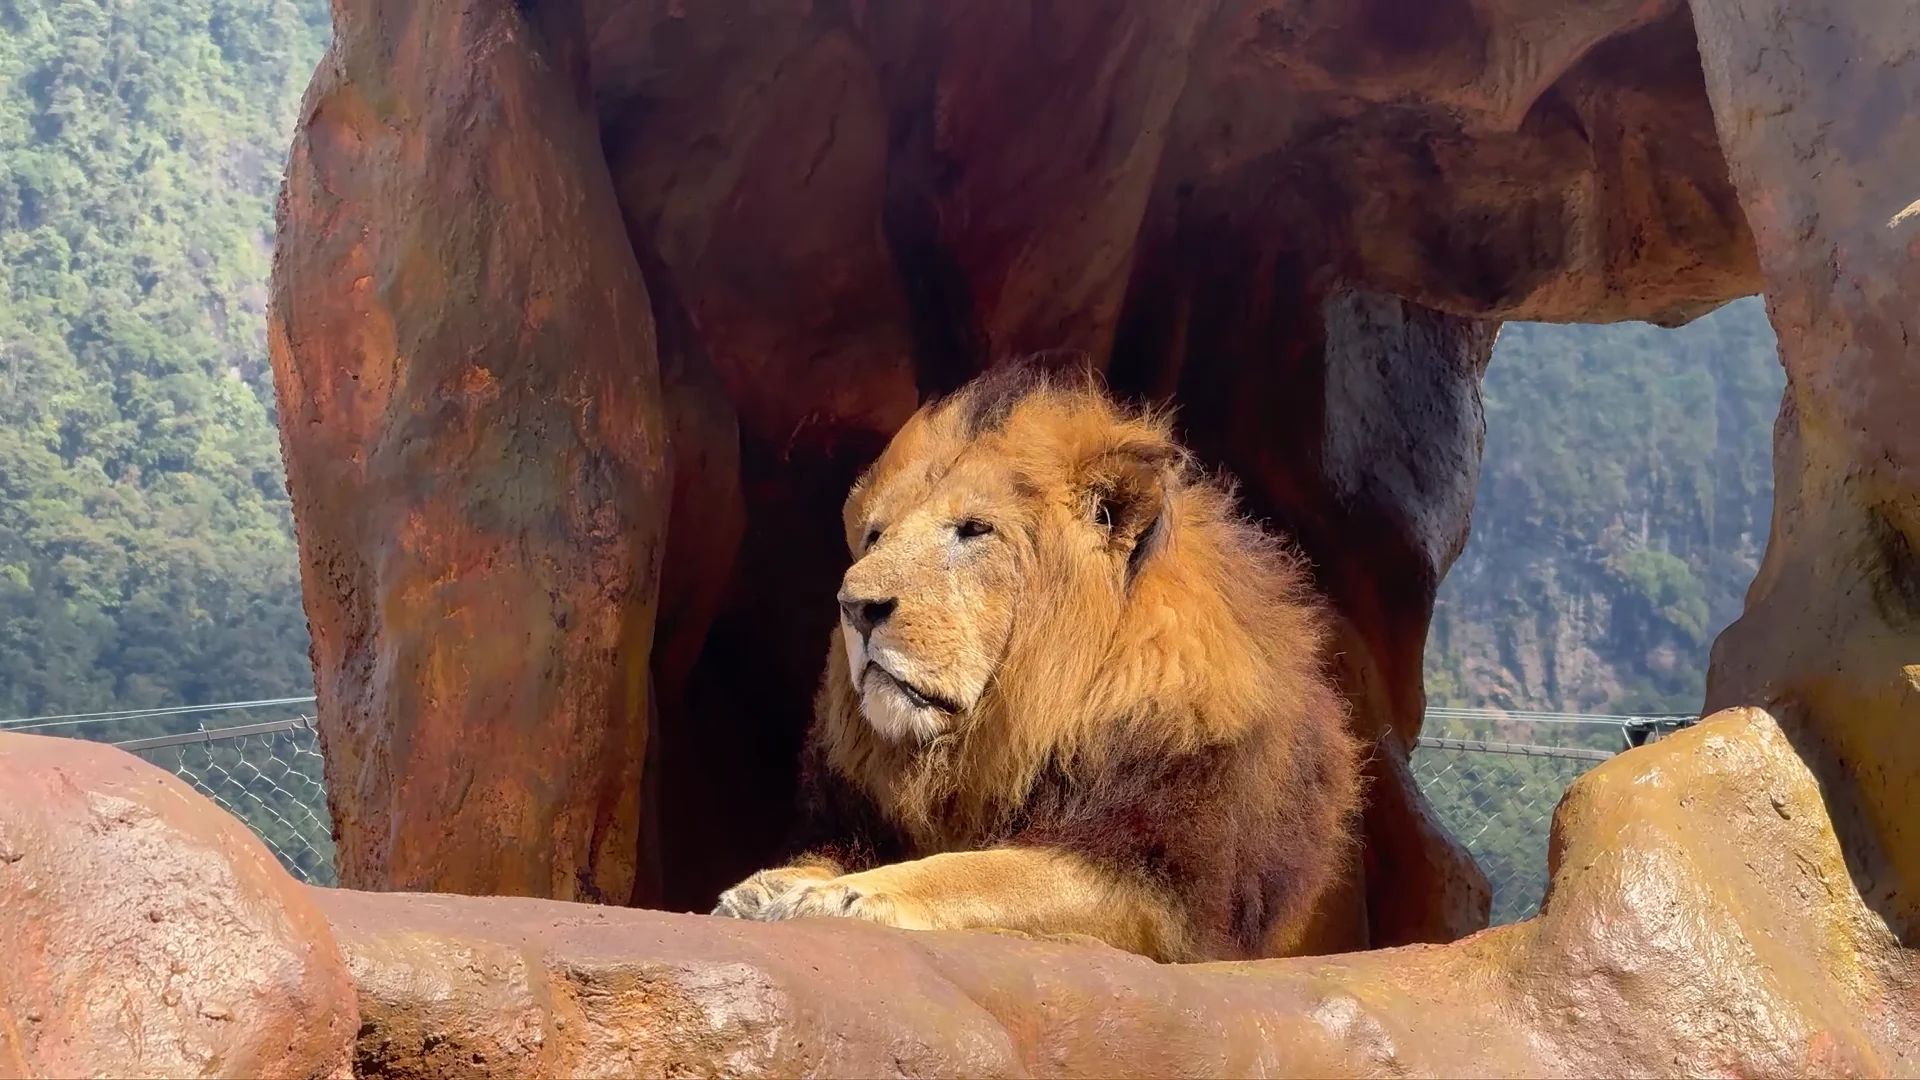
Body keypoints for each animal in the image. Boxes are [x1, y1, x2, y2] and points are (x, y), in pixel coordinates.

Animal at [710, 363, 1364, 963]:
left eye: (974, 530)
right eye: (875, 536)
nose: (855, 606)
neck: (1008, 728)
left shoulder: (1163, 890)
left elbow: (987, 872)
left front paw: (843, 896)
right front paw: (772, 885)